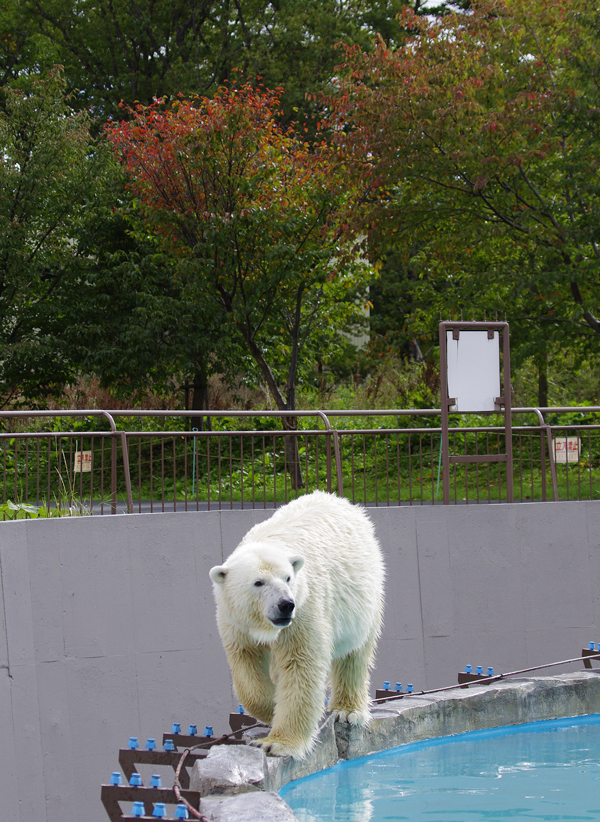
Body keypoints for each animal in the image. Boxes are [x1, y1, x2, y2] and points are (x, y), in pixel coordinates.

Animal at [209, 492, 384, 764]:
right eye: (258, 582)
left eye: (288, 578)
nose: (285, 605)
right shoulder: (237, 623)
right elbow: (247, 664)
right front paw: (271, 706)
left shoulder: (304, 610)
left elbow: (300, 664)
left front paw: (278, 744)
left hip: (365, 594)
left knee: (355, 653)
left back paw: (348, 710)